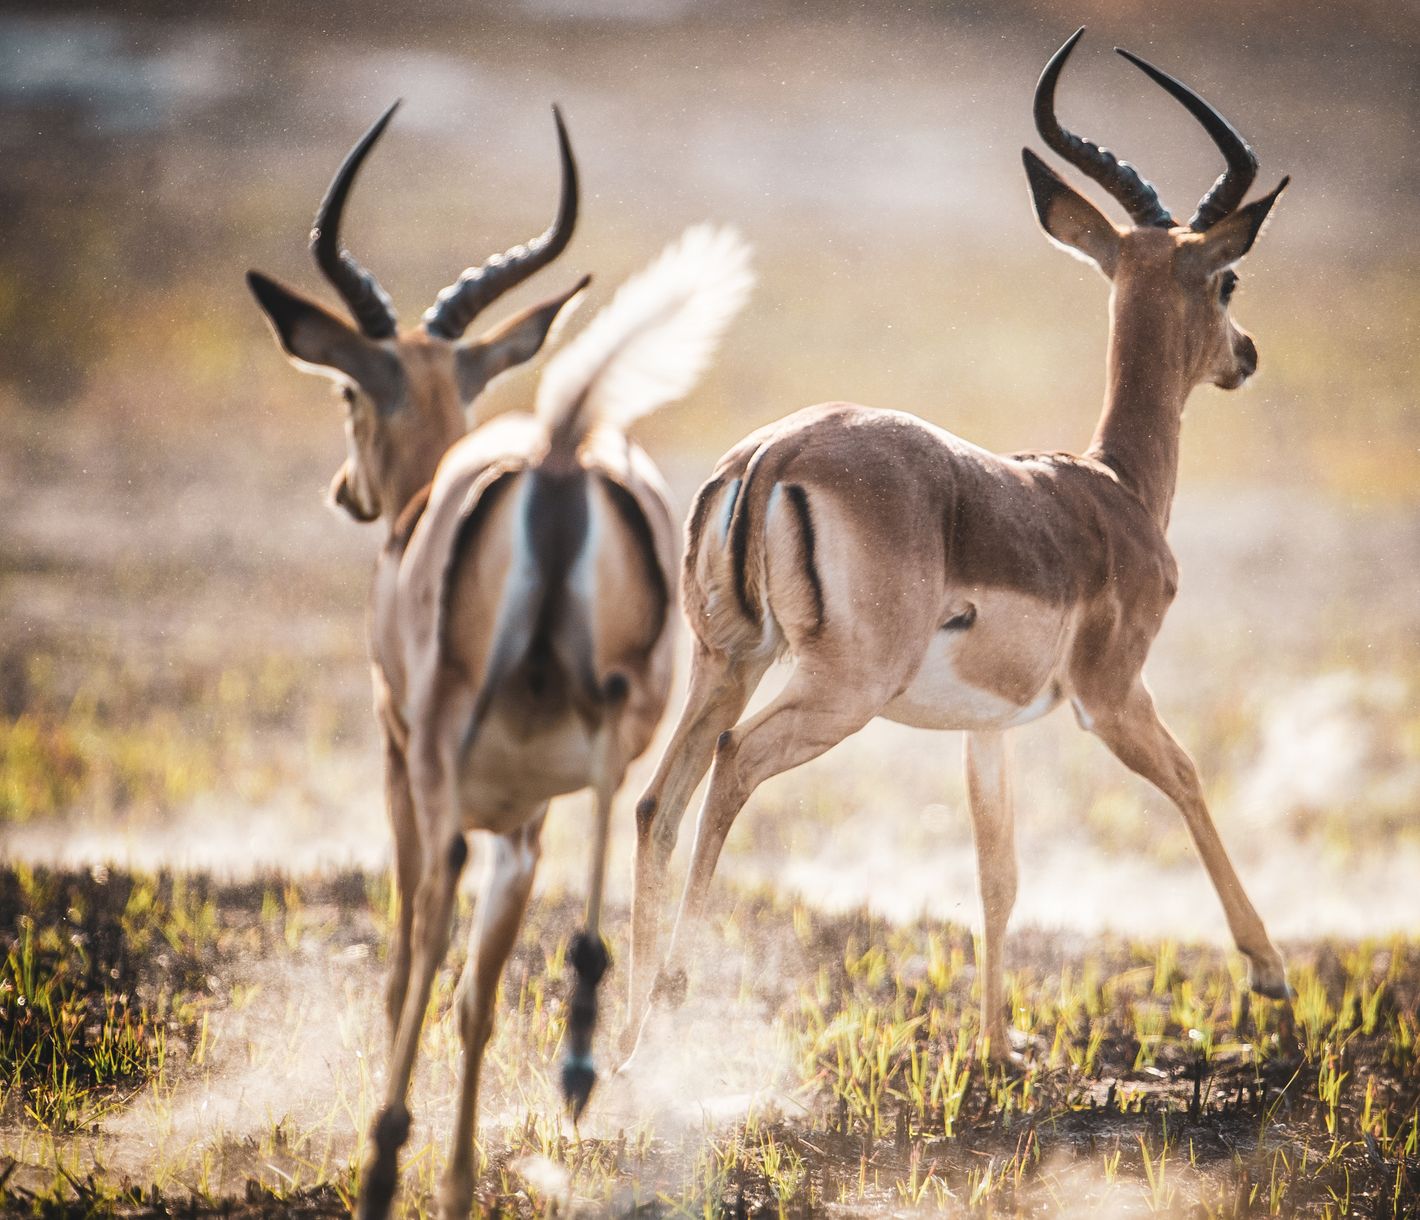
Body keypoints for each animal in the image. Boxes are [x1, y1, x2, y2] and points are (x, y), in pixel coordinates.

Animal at [246, 105, 752, 1219]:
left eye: (346, 389)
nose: (349, 492)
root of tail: (558, 455)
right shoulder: (521, 808)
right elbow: (476, 993)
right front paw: (461, 1177)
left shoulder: (401, 758)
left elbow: (409, 959)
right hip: (614, 715)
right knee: (633, 805)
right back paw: (581, 1053)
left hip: (448, 748)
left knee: (438, 912)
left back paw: (387, 1153)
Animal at [623, 29, 1292, 1066]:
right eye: (1227, 279)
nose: (1246, 353)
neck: (1114, 487)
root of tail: (773, 455)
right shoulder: (1109, 695)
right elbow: (1186, 777)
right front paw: (1267, 972)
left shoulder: (989, 728)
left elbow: (996, 868)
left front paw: (1001, 1048)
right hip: (840, 690)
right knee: (734, 766)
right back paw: (673, 1006)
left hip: (726, 659)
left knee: (661, 799)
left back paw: (622, 1047)